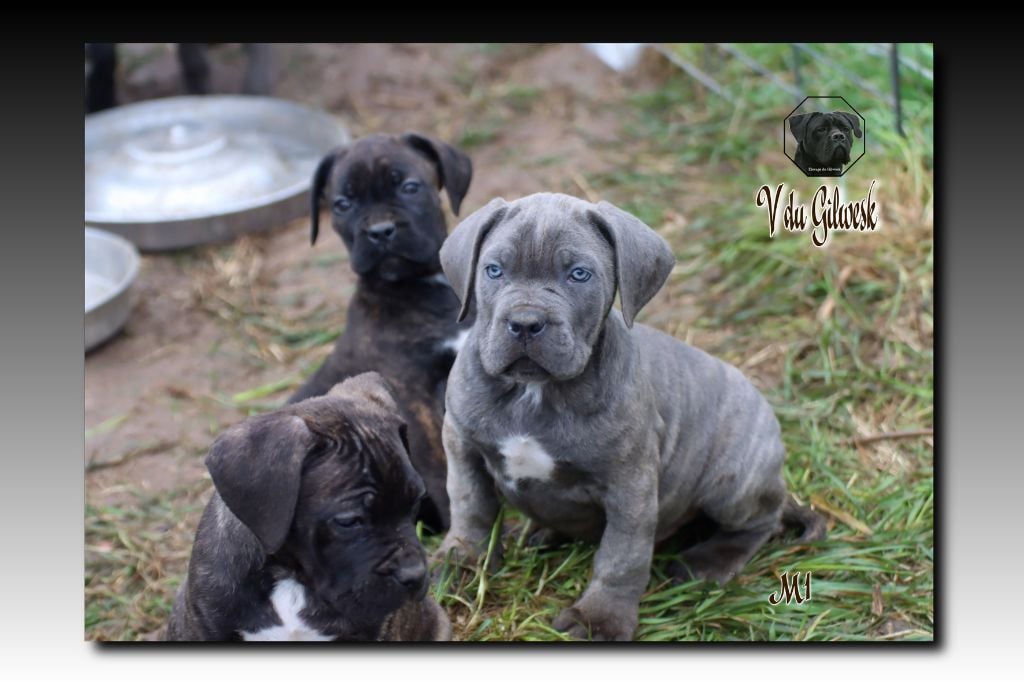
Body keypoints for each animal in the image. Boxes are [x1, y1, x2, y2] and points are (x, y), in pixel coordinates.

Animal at [287, 133, 474, 534]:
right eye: (342, 204)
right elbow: (441, 466)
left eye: (409, 187)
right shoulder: (414, 399)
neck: (420, 286)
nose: (379, 232)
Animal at [433, 193, 825, 641]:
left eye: (579, 275)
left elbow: (622, 557)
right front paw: (462, 565)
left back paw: (706, 564)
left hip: (732, 482)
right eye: (494, 270)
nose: (526, 323)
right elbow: (471, 508)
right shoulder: (461, 444)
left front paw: (598, 620)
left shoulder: (630, 485)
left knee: (762, 522)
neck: (536, 392)